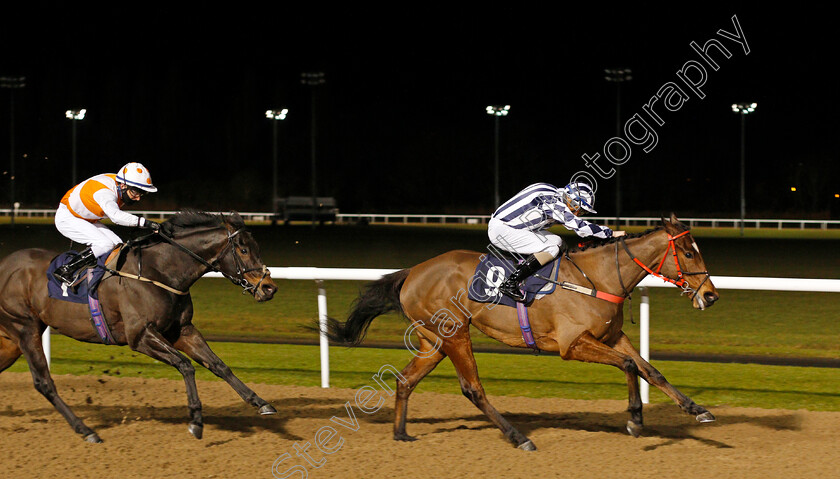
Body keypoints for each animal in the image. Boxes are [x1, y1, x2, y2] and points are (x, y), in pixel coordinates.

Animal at [0, 212, 282, 444]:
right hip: (24, 328)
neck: (160, 271)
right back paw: (87, 431)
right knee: (43, 382)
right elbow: (186, 365)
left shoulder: (181, 330)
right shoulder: (140, 336)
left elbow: (218, 365)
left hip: (11, 342)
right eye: (243, 249)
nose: (269, 288)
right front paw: (196, 421)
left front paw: (261, 403)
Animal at [324, 214, 720, 450]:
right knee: (472, 388)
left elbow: (650, 369)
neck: (598, 277)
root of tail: (412, 272)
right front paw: (635, 421)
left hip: (433, 340)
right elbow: (628, 366)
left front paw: (697, 409)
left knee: (406, 380)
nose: (711, 296)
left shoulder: (610, 337)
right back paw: (518, 437)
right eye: (688, 253)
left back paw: (401, 433)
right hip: (455, 334)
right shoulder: (573, 344)